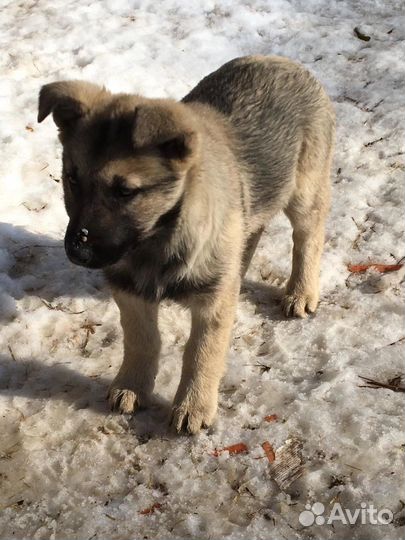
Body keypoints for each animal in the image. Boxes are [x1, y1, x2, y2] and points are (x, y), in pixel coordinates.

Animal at [38, 56, 334, 434]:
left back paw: (301, 292)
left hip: (304, 189)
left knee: (307, 236)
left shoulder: (210, 306)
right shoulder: (129, 290)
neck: (157, 239)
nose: (77, 252)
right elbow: (142, 339)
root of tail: (282, 61)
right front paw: (132, 385)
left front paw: (193, 405)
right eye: (72, 180)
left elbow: (201, 352)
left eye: (125, 191)